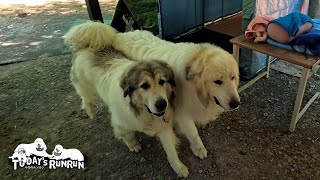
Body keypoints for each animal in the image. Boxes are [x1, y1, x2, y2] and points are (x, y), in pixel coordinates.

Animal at [64, 21, 189, 177]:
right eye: (144, 85)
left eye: (162, 81)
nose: (161, 104)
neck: (143, 112)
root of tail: (87, 46)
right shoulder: (121, 123)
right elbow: (127, 135)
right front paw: (133, 145)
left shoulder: (163, 126)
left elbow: (170, 150)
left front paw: (179, 167)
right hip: (89, 91)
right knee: (86, 100)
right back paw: (91, 112)